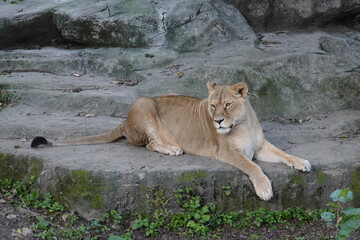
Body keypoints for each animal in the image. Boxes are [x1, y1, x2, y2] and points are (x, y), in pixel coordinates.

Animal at [31, 82, 310, 201]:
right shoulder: (227, 152)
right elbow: (253, 166)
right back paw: (173, 149)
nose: (218, 121)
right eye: (212, 106)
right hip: (144, 105)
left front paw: (302, 162)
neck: (243, 123)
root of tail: (124, 121)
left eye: (228, 104)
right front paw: (264, 190)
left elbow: (284, 154)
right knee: (149, 144)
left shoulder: (261, 147)